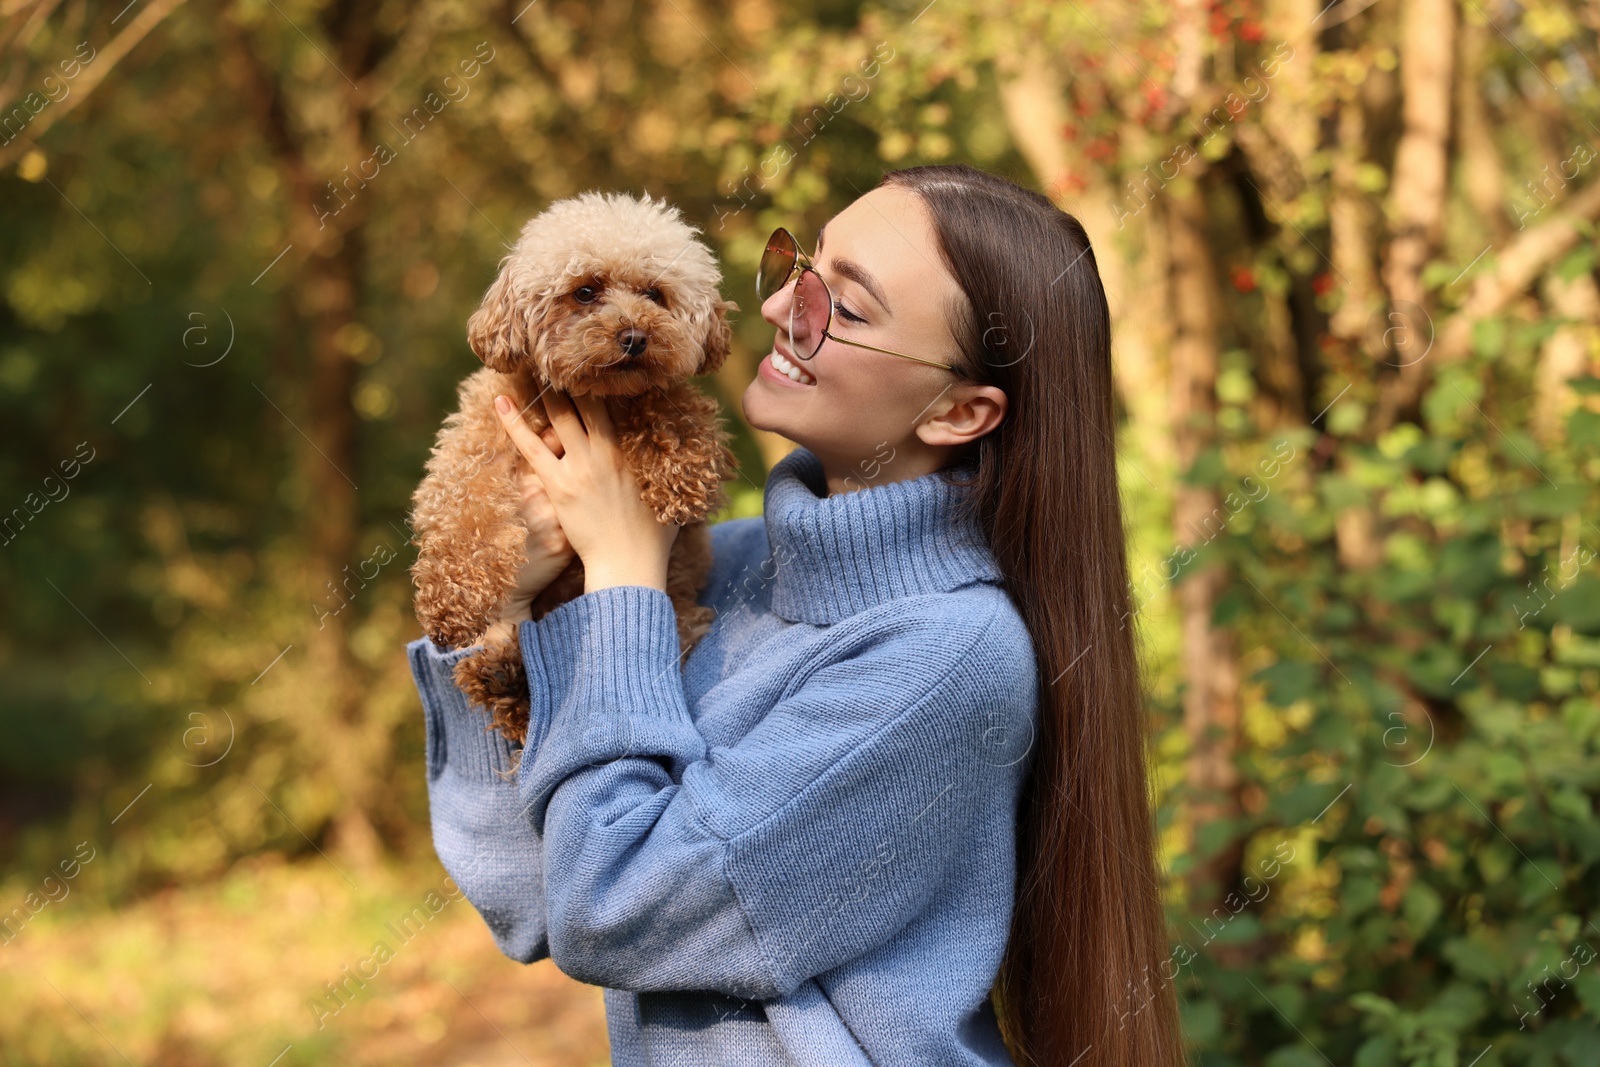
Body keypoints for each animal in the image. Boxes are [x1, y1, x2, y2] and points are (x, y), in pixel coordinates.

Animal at [409, 189, 739, 742]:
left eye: (655, 294)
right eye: (585, 291)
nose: (635, 336)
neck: (593, 397)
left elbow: (676, 405)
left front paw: (676, 472)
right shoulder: (477, 439)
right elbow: (463, 511)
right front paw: (452, 602)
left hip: (679, 609)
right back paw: (502, 677)